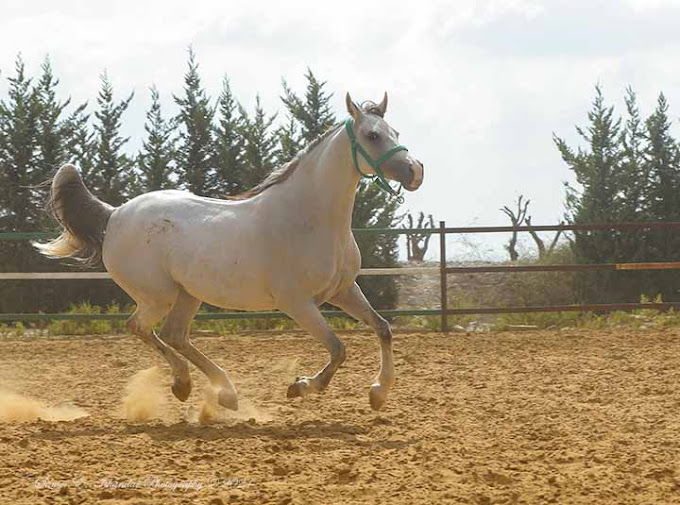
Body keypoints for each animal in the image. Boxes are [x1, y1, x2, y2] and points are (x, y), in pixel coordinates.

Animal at [34, 93, 424, 410]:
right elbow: (337, 348)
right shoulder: (297, 303)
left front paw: (378, 393)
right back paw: (191, 384)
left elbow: (383, 328)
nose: (415, 171)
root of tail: (114, 215)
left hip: (188, 294)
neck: (309, 217)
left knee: (175, 335)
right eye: (372, 135)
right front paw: (300, 387)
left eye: (395, 131)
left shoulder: (342, 290)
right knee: (141, 328)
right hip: (158, 295)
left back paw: (217, 392)